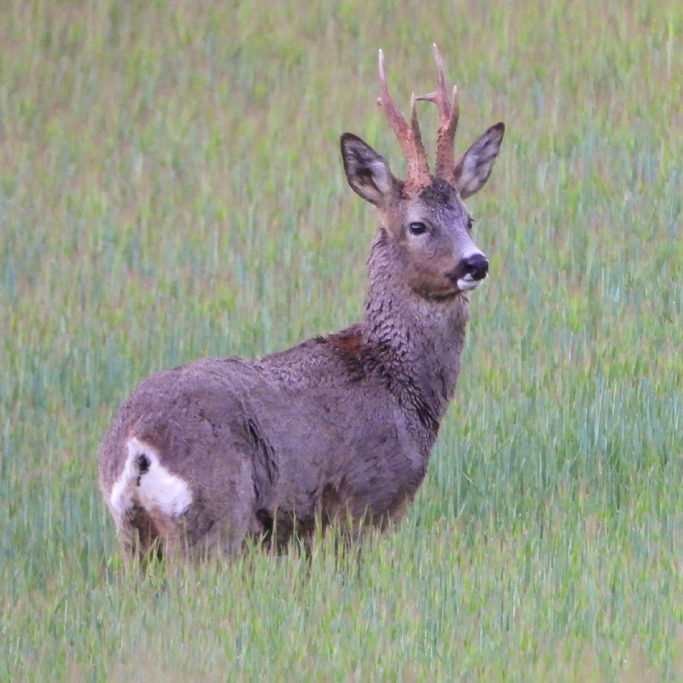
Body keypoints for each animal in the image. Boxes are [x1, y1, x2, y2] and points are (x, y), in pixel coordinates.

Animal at [97, 46, 502, 560]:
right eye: (418, 225)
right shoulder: (366, 499)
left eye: (469, 218)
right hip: (215, 514)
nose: (476, 262)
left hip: (133, 535)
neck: (395, 378)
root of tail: (137, 446)